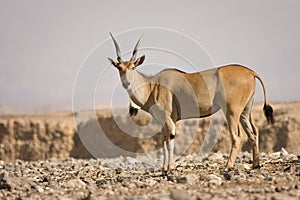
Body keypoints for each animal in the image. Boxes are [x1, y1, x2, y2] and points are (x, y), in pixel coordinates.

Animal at [108, 32, 274, 173]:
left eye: (133, 67)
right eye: (119, 68)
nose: (126, 83)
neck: (153, 86)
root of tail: (250, 72)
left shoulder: (168, 119)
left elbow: (170, 140)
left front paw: (169, 168)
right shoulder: (165, 122)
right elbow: (164, 141)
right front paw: (164, 169)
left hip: (232, 112)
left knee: (237, 136)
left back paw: (228, 166)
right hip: (245, 112)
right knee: (254, 132)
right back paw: (255, 164)